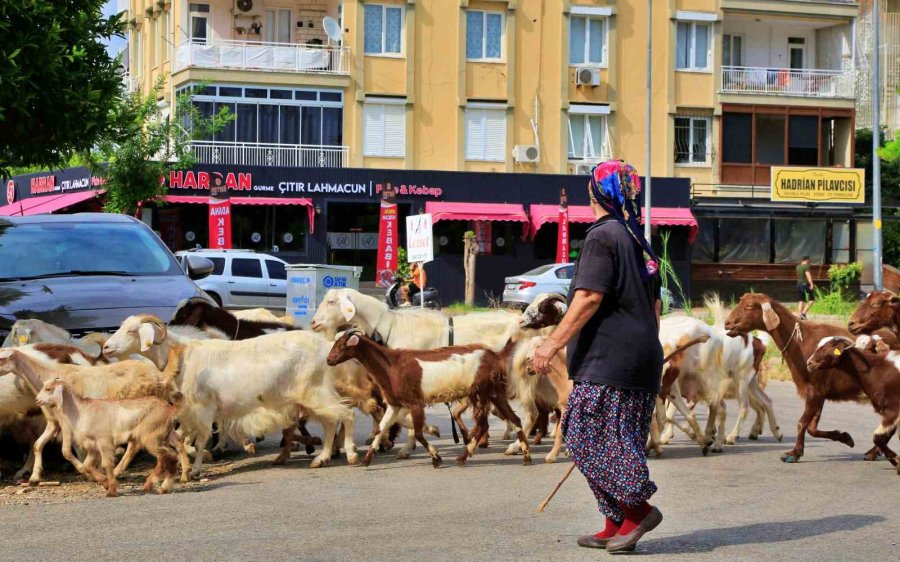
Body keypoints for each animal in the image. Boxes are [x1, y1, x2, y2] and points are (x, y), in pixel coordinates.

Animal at [34, 376, 182, 494]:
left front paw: (111, 489)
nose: (37, 400)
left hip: (151, 437)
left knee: (167, 456)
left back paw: (152, 483)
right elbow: (88, 466)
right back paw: (162, 487)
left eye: (48, 389)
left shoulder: (104, 441)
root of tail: (170, 408)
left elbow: (106, 464)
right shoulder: (92, 446)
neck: (81, 411)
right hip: (163, 436)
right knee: (171, 456)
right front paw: (105, 482)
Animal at [103, 312, 356, 474]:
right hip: (315, 393)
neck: (183, 355)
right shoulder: (190, 412)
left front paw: (195, 469)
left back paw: (351, 454)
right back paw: (322, 458)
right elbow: (181, 437)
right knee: (331, 421)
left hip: (314, 391)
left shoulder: (202, 408)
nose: (106, 347)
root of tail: (325, 345)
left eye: (132, 331)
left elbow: (200, 439)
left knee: (346, 415)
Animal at [326, 330, 532, 466]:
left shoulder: (415, 403)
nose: (329, 360)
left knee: (484, 425)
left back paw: (464, 456)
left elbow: (418, 433)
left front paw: (436, 458)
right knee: (513, 419)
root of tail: (495, 355)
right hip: (495, 393)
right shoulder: (394, 404)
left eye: (342, 344)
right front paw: (367, 459)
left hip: (481, 392)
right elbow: (381, 429)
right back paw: (526, 456)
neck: (391, 365)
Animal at [724, 290, 880, 462]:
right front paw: (845, 437)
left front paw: (793, 454)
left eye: (750, 306)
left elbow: (801, 423)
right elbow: (812, 428)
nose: (727, 324)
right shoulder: (818, 392)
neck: (802, 341)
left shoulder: (815, 390)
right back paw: (873, 452)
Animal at [808, 336, 900, 472]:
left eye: (826, 348)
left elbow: (877, 437)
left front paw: (897, 462)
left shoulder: (894, 410)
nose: (809, 363)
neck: (880, 370)